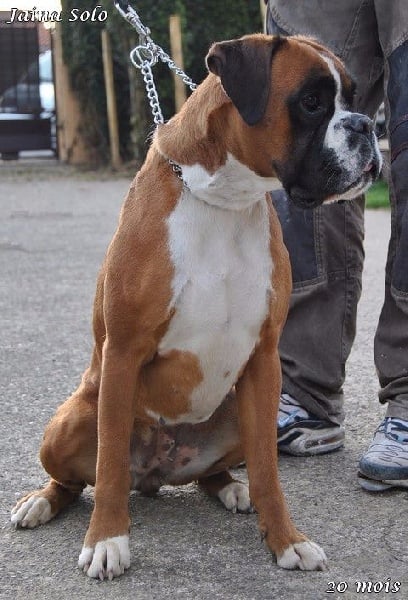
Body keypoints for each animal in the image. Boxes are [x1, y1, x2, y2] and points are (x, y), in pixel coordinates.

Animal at [11, 34, 381, 579]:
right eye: (312, 102)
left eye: (355, 98)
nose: (367, 127)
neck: (226, 201)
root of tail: (155, 472)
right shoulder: (122, 353)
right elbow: (108, 464)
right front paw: (106, 541)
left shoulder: (265, 360)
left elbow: (270, 472)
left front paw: (286, 540)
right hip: (69, 421)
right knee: (78, 480)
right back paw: (41, 502)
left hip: (243, 415)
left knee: (220, 471)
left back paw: (232, 488)